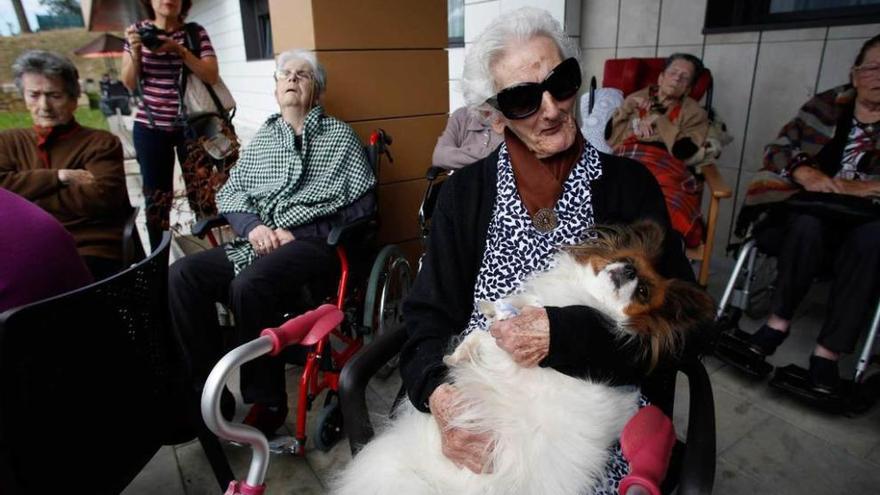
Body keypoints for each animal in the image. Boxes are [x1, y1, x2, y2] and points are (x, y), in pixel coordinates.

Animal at [332, 222, 716, 495]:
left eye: (645, 292)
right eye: (626, 261)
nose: (630, 271)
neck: (587, 298)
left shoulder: (520, 343)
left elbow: (491, 335)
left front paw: (464, 349)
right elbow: (486, 328)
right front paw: (461, 348)